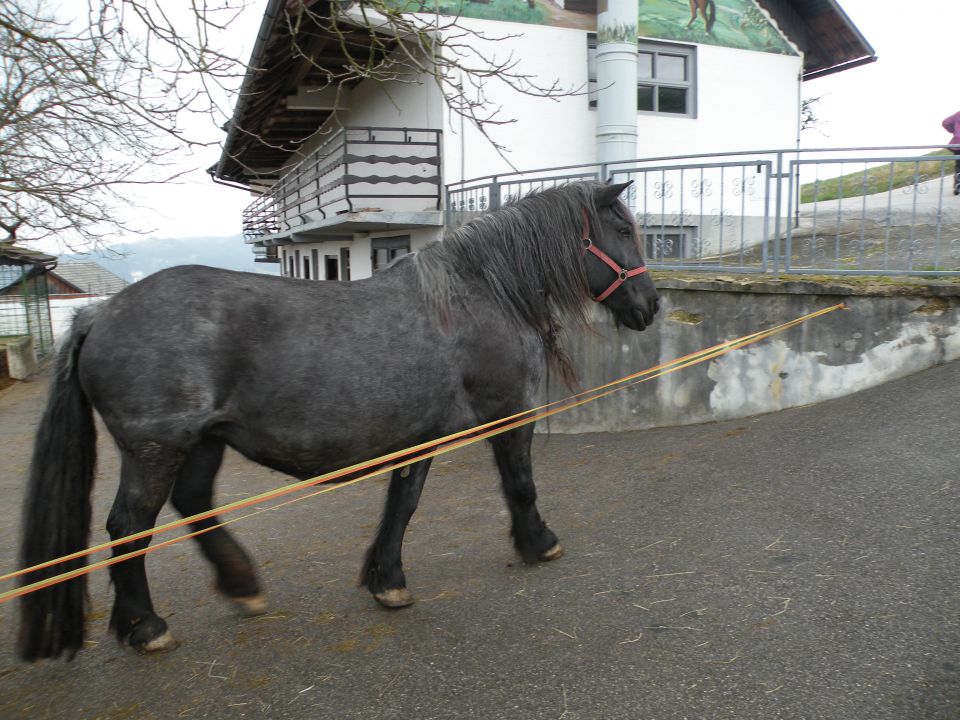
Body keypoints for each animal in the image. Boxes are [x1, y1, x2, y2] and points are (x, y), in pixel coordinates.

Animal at [16, 180, 660, 660]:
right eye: (623, 230)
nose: (651, 306)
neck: (479, 295)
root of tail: (98, 314)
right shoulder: (508, 414)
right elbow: (519, 484)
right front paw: (539, 543)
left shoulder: (419, 435)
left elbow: (402, 504)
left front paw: (387, 580)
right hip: (156, 449)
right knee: (128, 527)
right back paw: (147, 627)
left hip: (202, 443)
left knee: (194, 504)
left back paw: (241, 585)